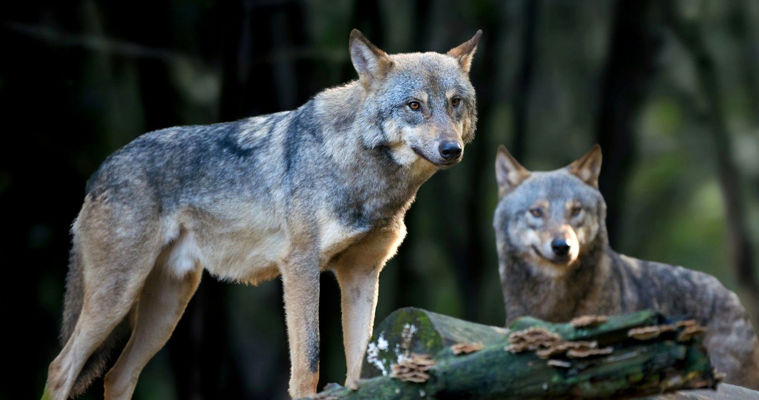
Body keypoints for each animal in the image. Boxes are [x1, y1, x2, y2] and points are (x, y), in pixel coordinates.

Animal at [42, 29, 482, 400]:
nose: (452, 150)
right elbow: (309, 362)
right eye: (414, 106)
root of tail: (101, 170)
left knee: (118, 376)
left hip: (167, 308)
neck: (365, 176)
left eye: (454, 103)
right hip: (117, 297)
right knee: (61, 367)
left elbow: (360, 364)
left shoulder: (361, 275)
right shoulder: (300, 267)